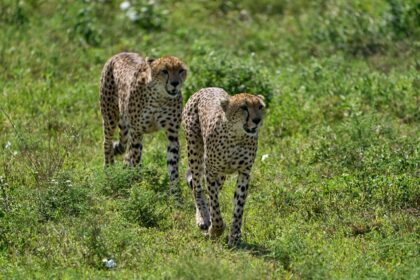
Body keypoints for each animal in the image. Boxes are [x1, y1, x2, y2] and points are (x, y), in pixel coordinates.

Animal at [99, 52, 187, 199]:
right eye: (164, 71)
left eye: (181, 70)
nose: (175, 83)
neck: (159, 97)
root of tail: (121, 53)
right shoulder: (137, 131)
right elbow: (135, 160)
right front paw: (136, 188)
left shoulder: (172, 135)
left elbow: (173, 166)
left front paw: (176, 196)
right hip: (110, 116)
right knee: (108, 143)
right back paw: (109, 170)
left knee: (126, 151)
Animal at [181, 87, 266, 245]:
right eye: (244, 107)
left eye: (260, 107)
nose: (257, 120)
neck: (237, 136)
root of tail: (207, 88)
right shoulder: (210, 171)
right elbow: (215, 205)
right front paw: (215, 230)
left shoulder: (244, 173)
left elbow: (238, 207)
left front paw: (235, 237)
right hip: (194, 151)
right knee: (197, 187)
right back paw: (203, 219)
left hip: (221, 175)